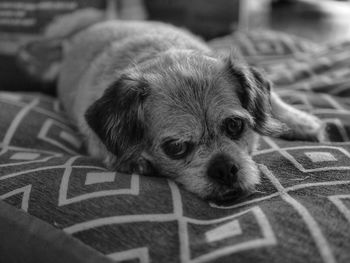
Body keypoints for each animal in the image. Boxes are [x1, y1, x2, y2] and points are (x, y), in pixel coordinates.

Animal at [34, 12, 326, 204]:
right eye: (175, 147)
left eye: (235, 125)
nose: (224, 169)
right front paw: (135, 160)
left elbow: (270, 100)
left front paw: (299, 121)